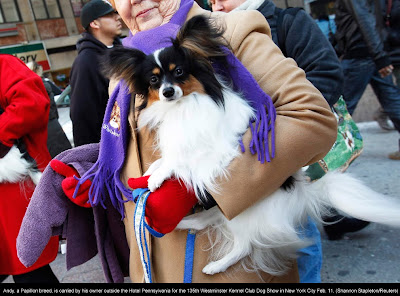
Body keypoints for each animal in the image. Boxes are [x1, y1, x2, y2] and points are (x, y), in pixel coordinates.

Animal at [104, 15, 400, 276]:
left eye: (179, 72)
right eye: (154, 80)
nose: (167, 92)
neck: (184, 107)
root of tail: (301, 193)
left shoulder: (219, 149)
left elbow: (183, 161)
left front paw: (158, 179)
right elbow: (169, 156)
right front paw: (149, 174)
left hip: (244, 214)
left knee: (244, 244)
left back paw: (216, 265)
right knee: (207, 219)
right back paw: (181, 223)